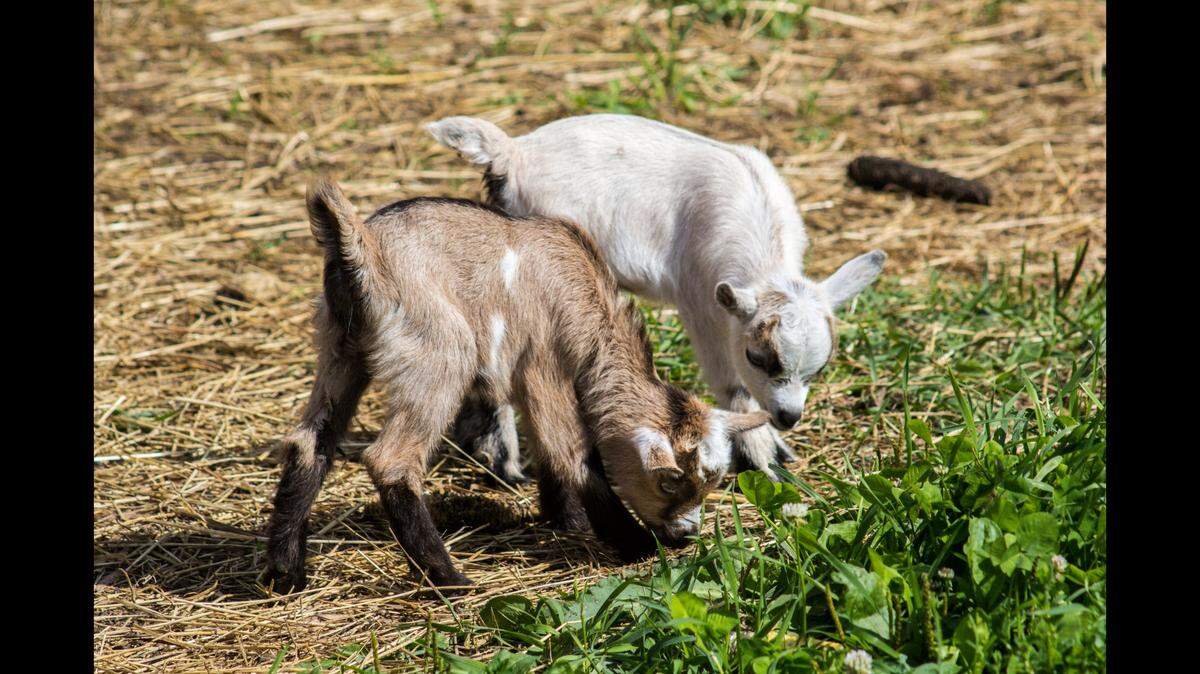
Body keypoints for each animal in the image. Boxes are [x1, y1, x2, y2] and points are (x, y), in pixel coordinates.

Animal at [263, 176, 770, 593]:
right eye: (669, 482)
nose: (685, 535)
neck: (583, 294)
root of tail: (362, 247)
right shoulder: (543, 362)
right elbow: (571, 451)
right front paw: (635, 545)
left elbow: (547, 449)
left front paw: (566, 520)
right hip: (438, 353)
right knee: (392, 458)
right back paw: (448, 579)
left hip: (340, 349)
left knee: (309, 443)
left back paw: (285, 574)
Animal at [427, 114, 885, 479]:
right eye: (758, 357)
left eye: (820, 368)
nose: (789, 417)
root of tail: (512, 152)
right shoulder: (701, 300)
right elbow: (732, 383)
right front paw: (761, 455)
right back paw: (507, 459)